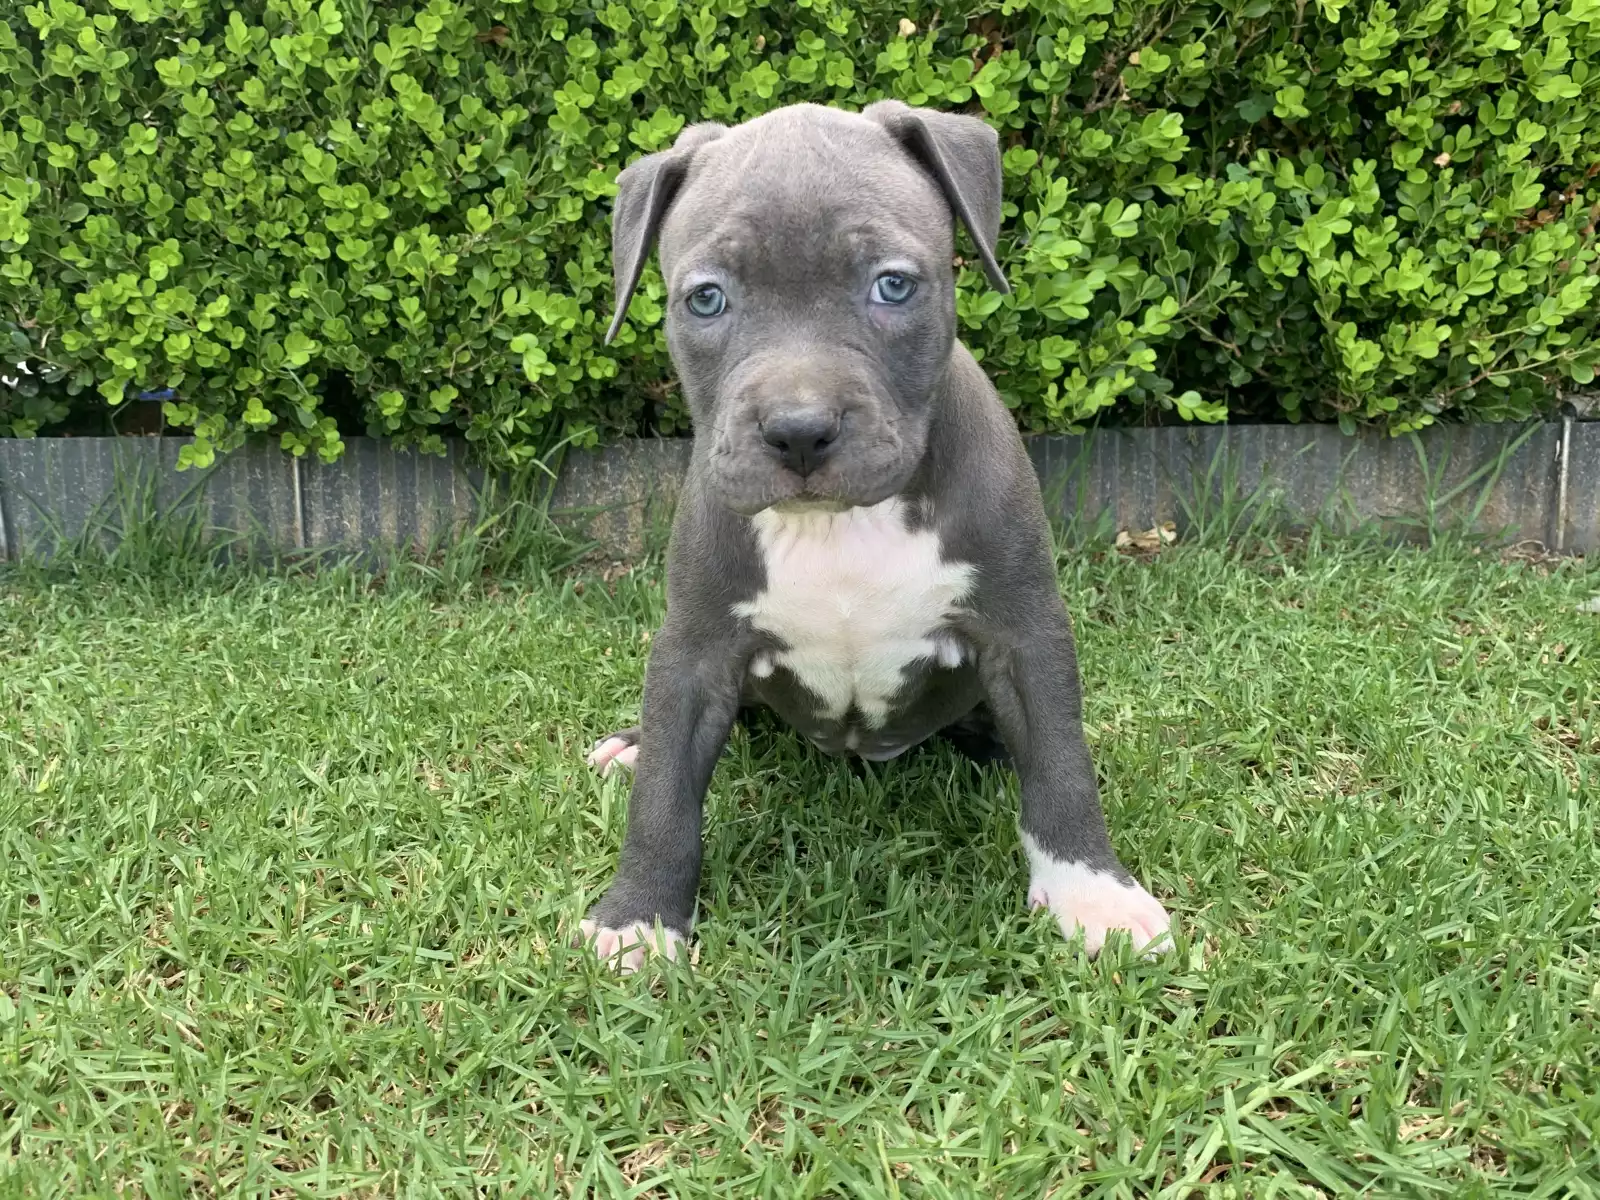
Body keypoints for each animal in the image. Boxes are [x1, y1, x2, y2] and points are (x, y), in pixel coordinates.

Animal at [579, 101, 1172, 971]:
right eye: (707, 299)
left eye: (892, 285)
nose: (798, 431)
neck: (841, 525)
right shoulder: (694, 650)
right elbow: (664, 795)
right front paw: (638, 917)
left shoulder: (1024, 632)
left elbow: (1063, 764)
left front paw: (1092, 893)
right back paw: (628, 745)